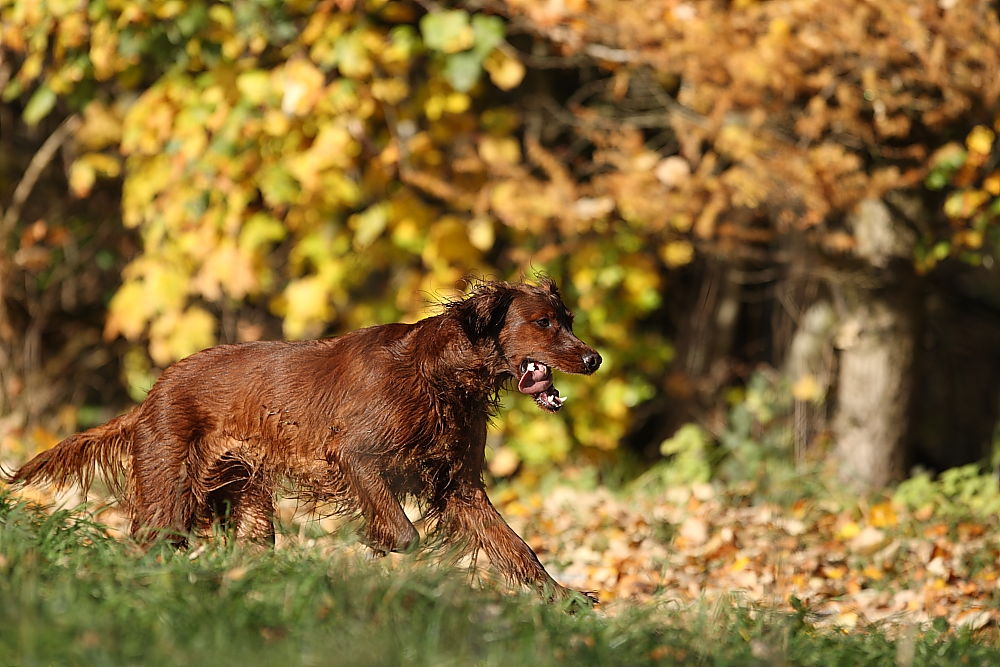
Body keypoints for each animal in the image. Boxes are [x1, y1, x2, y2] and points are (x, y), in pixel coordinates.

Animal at [3, 280, 600, 604]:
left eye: (568, 319)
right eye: (544, 323)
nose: (594, 358)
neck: (441, 375)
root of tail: (154, 392)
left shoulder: (460, 486)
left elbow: (517, 548)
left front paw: (563, 598)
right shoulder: (355, 454)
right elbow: (405, 533)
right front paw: (379, 543)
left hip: (247, 507)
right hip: (170, 495)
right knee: (150, 544)